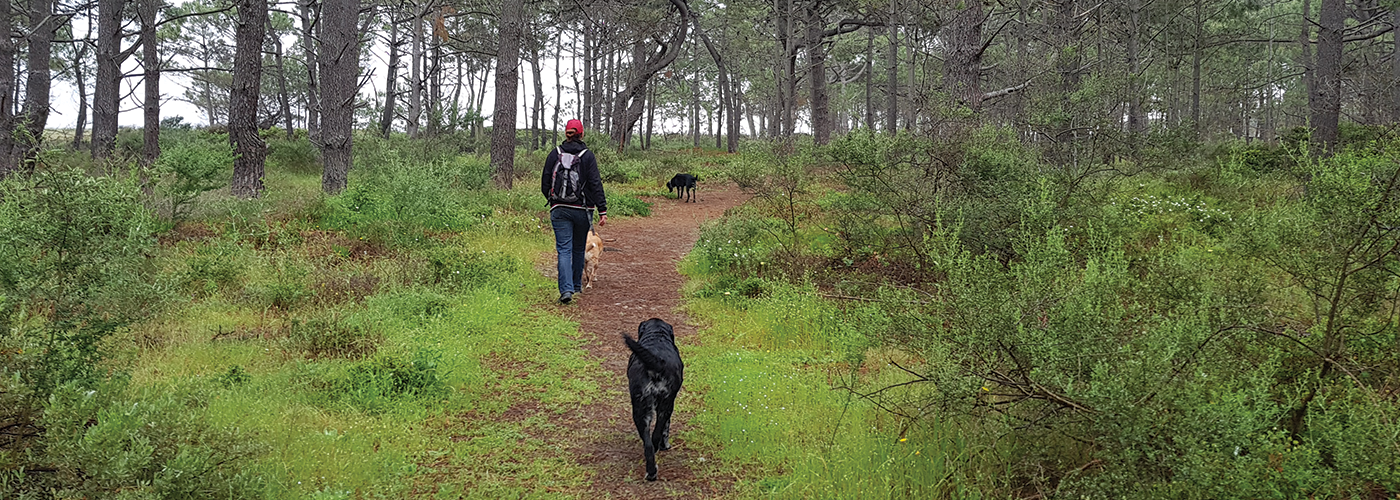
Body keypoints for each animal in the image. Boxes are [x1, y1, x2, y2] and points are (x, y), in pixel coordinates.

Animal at [627, 317, 686, 481]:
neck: (657, 337)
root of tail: (656, 364)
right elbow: (666, 429)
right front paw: (665, 446)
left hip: (641, 410)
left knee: (648, 444)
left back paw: (651, 472)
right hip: (664, 406)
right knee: (656, 435)